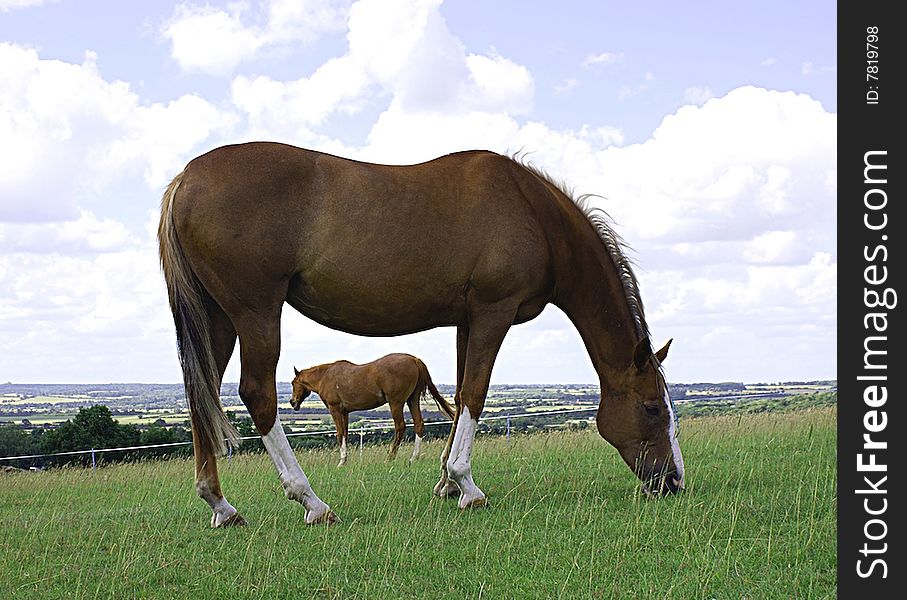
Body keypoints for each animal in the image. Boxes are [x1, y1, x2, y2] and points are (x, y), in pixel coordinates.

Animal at [290, 354, 458, 466]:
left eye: (293, 383)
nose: (292, 402)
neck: (325, 376)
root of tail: (414, 360)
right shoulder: (345, 412)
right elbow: (345, 434)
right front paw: (345, 461)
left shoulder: (335, 409)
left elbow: (339, 434)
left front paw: (341, 462)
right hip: (412, 400)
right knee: (419, 425)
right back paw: (413, 458)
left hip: (396, 403)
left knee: (400, 427)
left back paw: (390, 457)